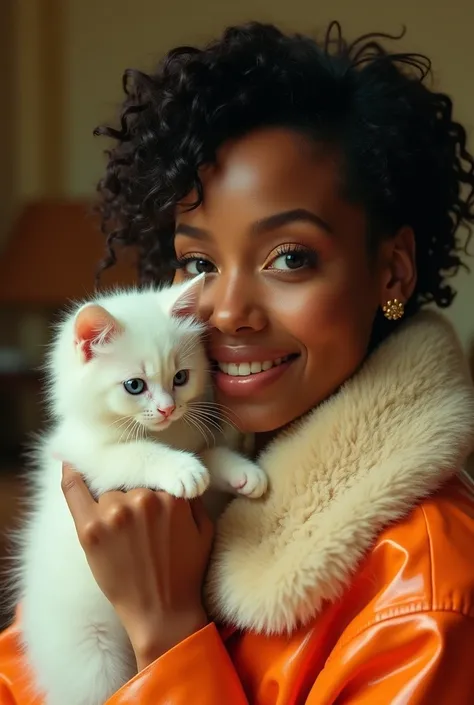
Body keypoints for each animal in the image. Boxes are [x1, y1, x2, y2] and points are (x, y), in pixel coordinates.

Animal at [15, 276, 266, 704]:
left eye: (180, 378)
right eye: (135, 385)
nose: (167, 409)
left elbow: (208, 452)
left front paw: (241, 472)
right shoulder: (88, 458)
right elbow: (136, 454)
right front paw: (182, 469)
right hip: (90, 659)